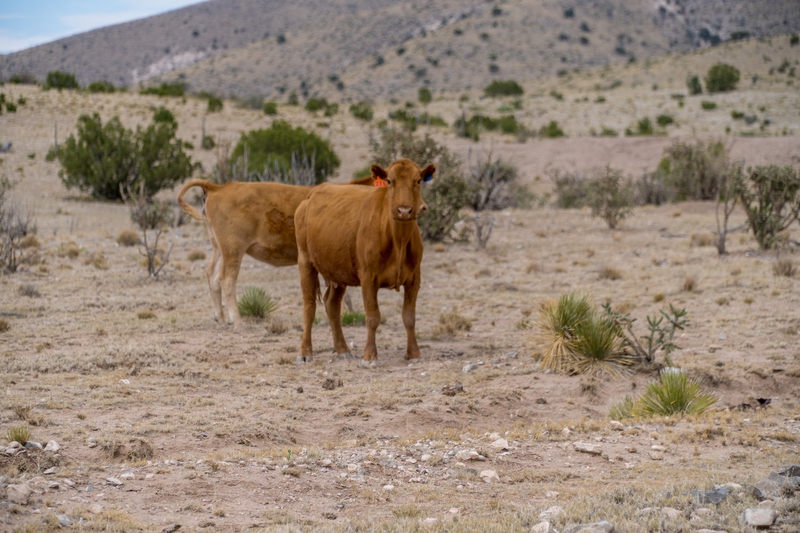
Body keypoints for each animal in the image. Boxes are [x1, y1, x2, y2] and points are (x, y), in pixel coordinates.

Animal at [178, 178, 372, 328]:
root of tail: (220, 187)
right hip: (233, 250)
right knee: (226, 279)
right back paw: (238, 322)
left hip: (220, 249)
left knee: (212, 275)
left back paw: (221, 319)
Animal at [294, 158, 434, 366]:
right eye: (389, 181)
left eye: (418, 181)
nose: (404, 210)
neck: (398, 241)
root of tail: (312, 194)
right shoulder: (368, 278)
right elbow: (373, 317)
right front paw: (370, 356)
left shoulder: (414, 279)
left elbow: (409, 317)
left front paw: (414, 354)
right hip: (305, 261)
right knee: (309, 306)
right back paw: (305, 352)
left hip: (338, 272)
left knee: (332, 305)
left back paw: (343, 349)